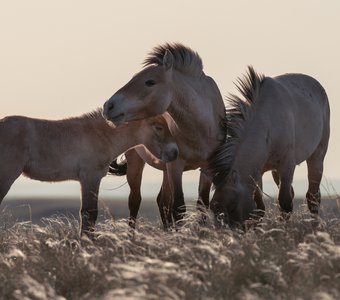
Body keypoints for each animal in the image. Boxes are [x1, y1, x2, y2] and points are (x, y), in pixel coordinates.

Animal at [0, 109, 179, 236]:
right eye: (158, 127)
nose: (175, 152)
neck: (101, 136)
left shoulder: (88, 179)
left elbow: (88, 214)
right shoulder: (90, 177)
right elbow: (89, 214)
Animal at [103, 42, 226, 225]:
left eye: (150, 82)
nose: (108, 106)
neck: (200, 128)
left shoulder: (208, 167)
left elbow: (202, 205)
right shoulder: (175, 166)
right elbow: (178, 208)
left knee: (162, 201)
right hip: (137, 162)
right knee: (135, 201)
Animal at [209, 67, 330, 227]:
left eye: (233, 207)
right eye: (212, 208)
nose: (226, 233)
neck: (266, 123)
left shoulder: (287, 166)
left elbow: (285, 203)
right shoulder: (259, 172)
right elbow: (259, 207)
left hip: (317, 156)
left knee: (313, 196)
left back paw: (315, 225)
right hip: (275, 171)